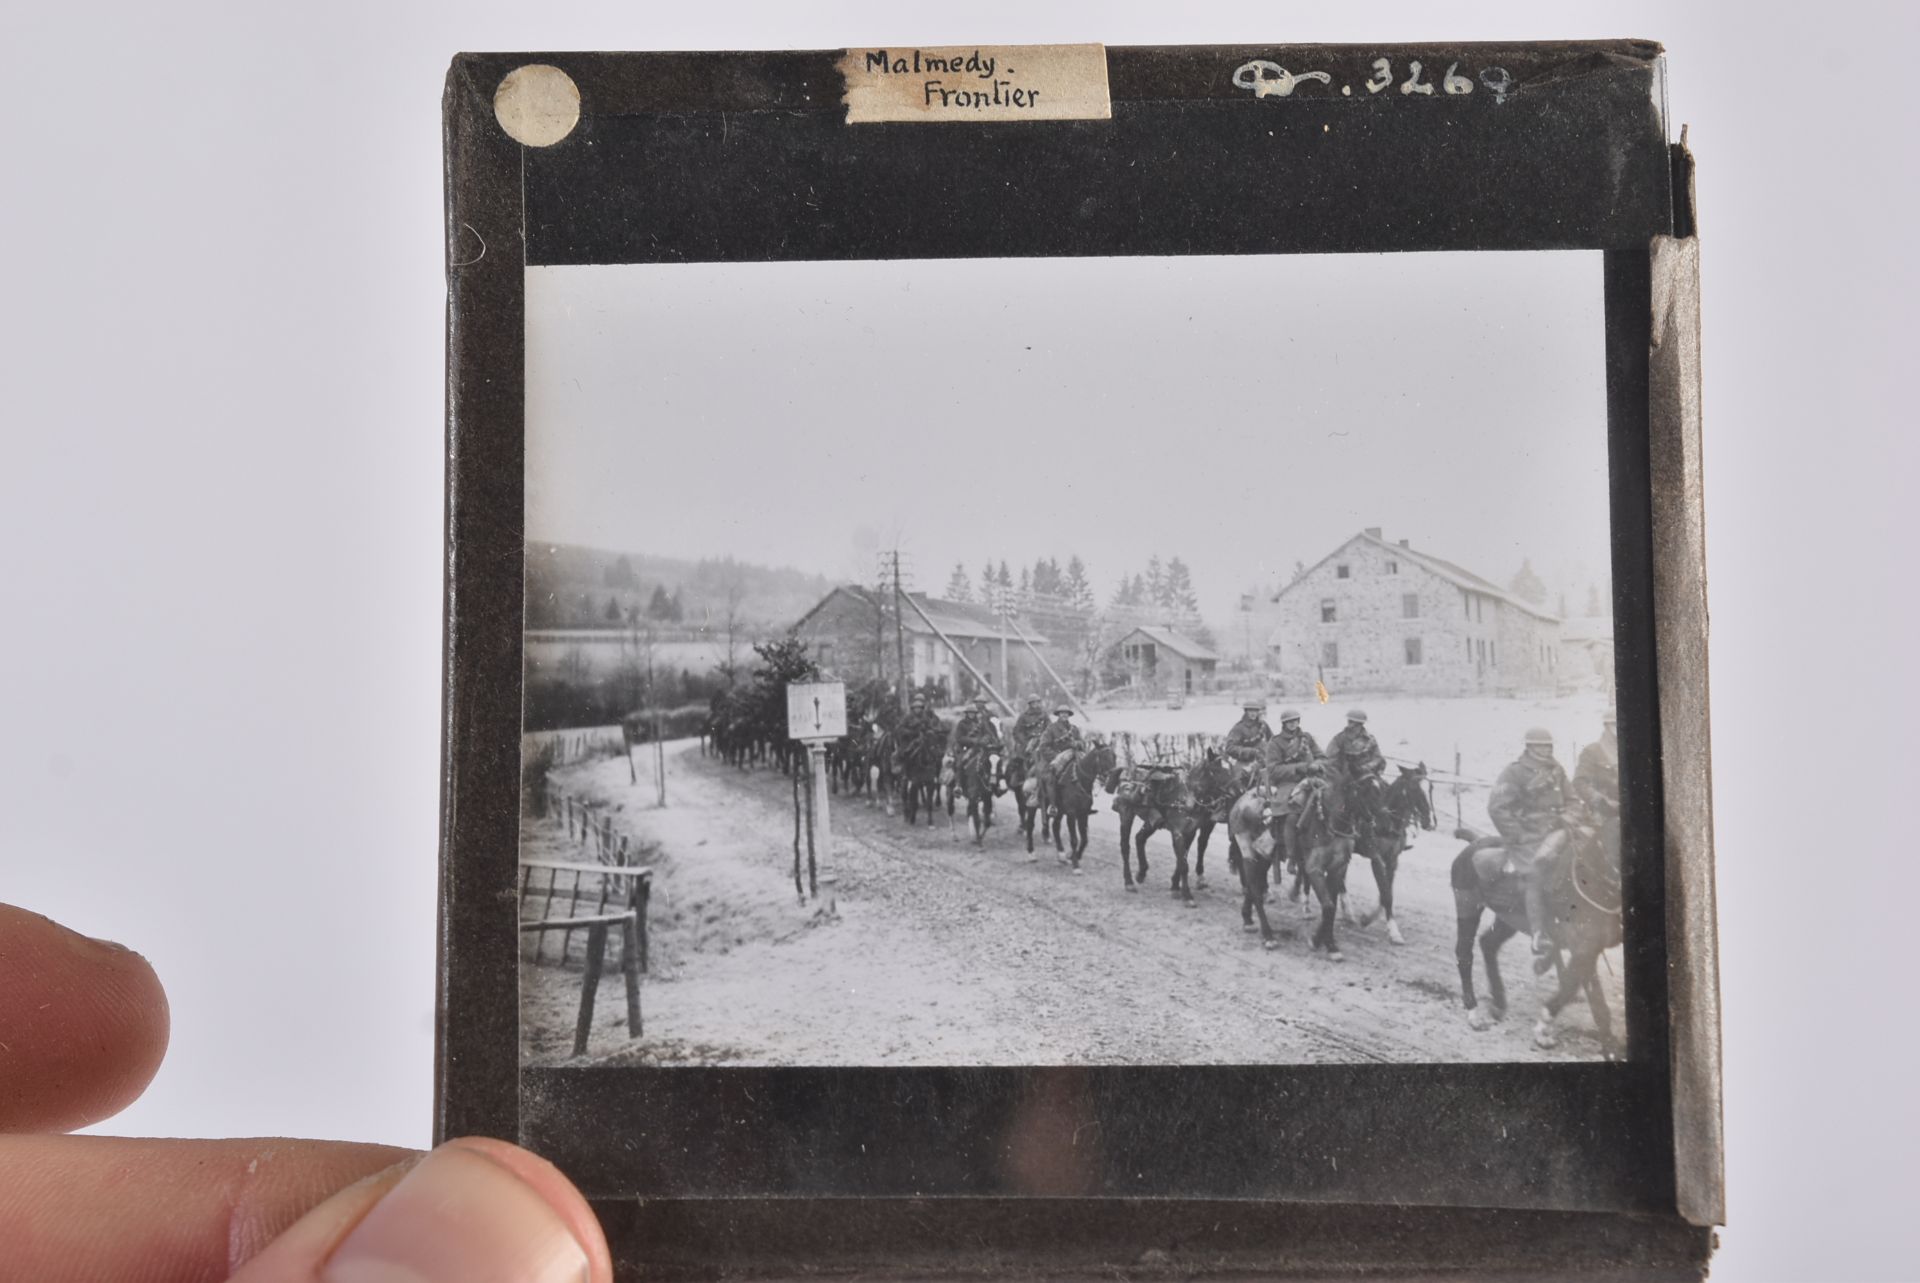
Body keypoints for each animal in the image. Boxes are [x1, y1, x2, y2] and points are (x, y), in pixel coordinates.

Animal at [1451, 818, 1620, 1060]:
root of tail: (1475, 843)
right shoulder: (1584, 947)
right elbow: (1578, 990)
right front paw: (1542, 1030)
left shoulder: (1590, 950)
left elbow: (1585, 994)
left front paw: (1610, 1046)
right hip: (1468, 905)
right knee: (1464, 955)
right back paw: (1474, 1013)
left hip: (1509, 919)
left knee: (1488, 944)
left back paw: (1499, 1002)